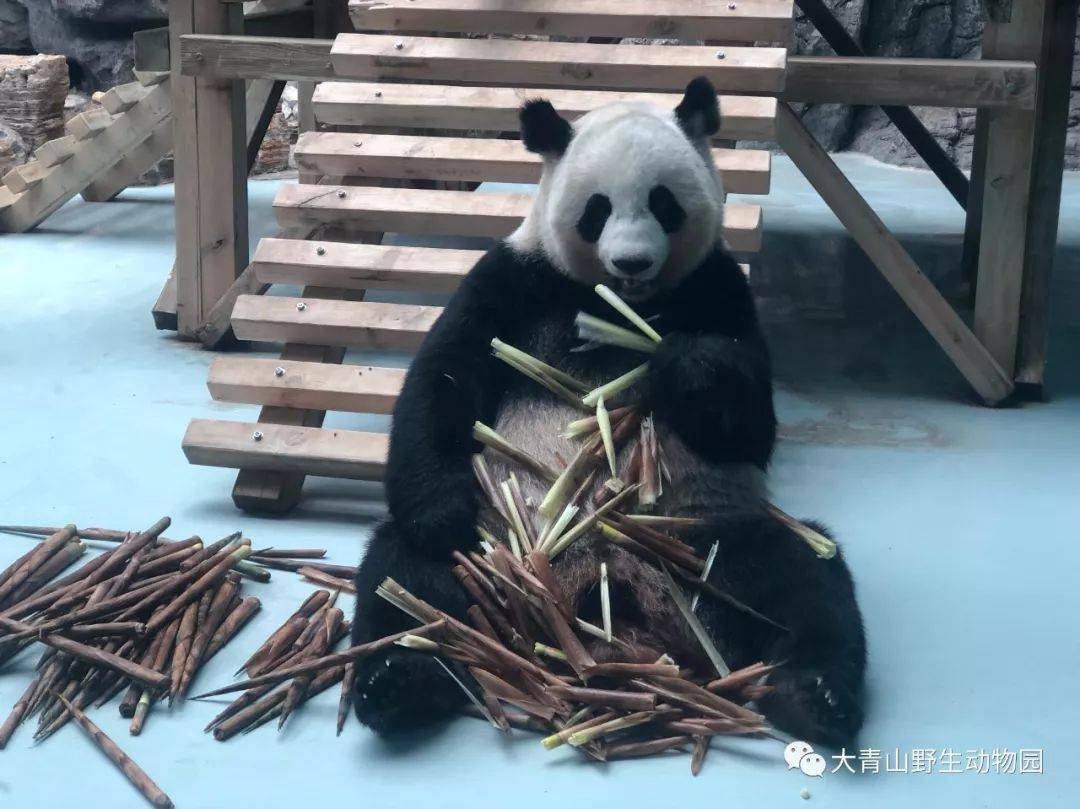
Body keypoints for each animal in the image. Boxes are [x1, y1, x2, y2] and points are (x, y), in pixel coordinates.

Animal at [354, 77, 868, 743]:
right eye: (596, 210)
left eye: (663, 204)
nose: (631, 263)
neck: (614, 306)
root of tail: (606, 600)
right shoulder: (515, 282)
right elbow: (442, 381)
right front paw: (440, 514)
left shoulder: (719, 288)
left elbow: (751, 428)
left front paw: (687, 366)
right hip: (497, 544)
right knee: (407, 580)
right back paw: (396, 681)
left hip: (698, 539)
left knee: (801, 578)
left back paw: (816, 696)